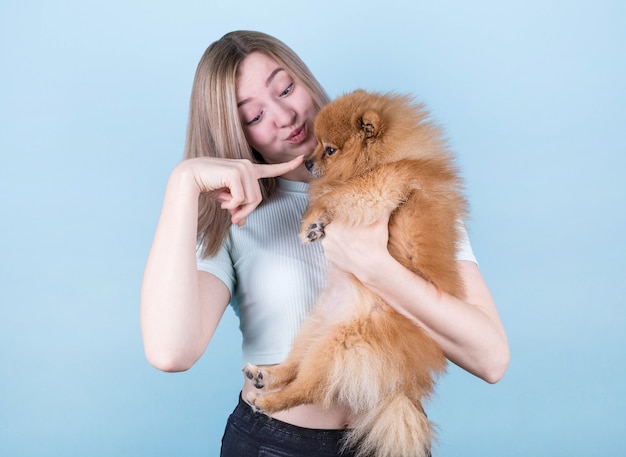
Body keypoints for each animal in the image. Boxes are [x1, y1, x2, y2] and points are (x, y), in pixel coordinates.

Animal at [244, 89, 468, 456]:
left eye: (329, 149)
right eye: (315, 144)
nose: (307, 163)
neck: (385, 157)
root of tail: (402, 381)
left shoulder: (379, 186)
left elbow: (335, 194)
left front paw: (310, 223)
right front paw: (315, 226)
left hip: (340, 344)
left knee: (309, 388)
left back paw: (268, 401)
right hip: (315, 326)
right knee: (296, 366)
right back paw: (266, 377)